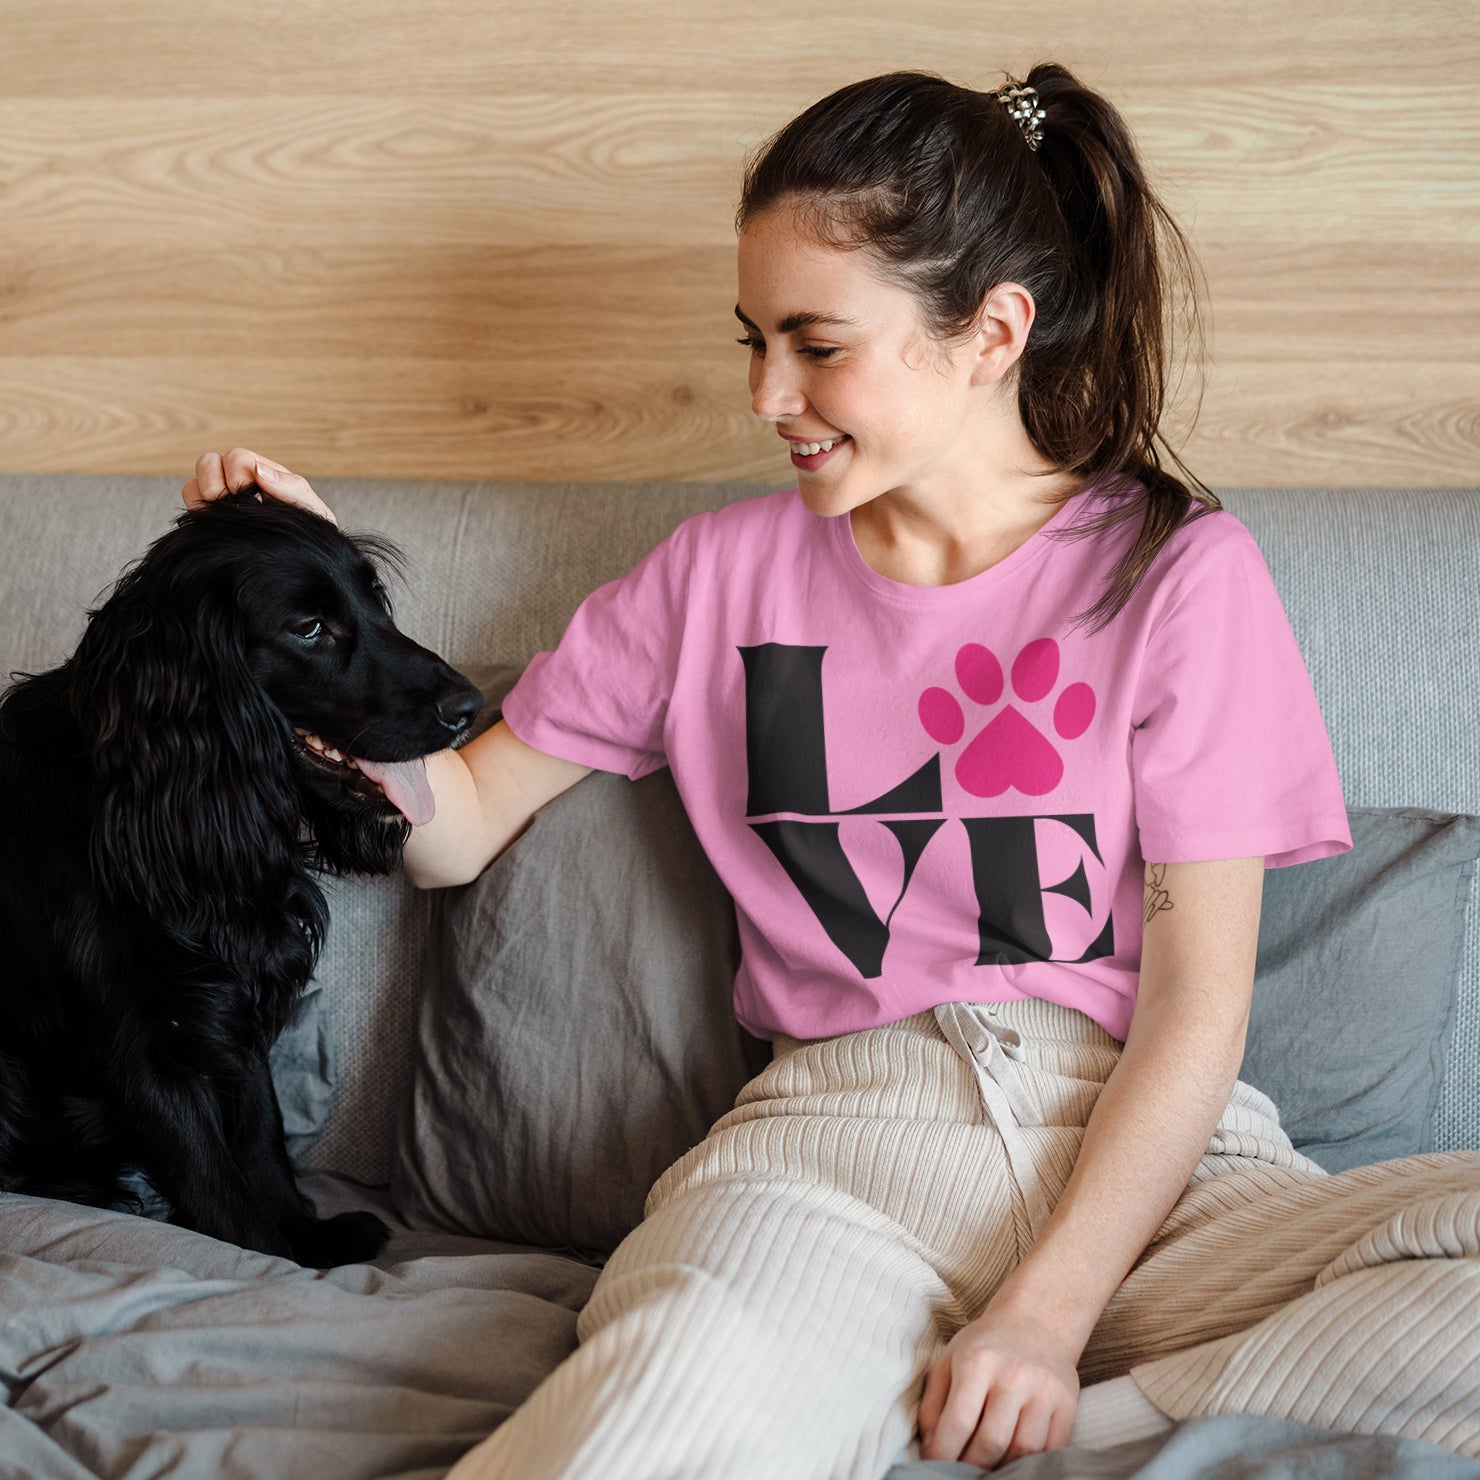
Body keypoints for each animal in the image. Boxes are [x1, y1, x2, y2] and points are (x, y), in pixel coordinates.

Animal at [0, 491, 482, 1266]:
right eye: (309, 628)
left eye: (375, 601)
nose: (469, 709)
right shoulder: (142, 1035)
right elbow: (213, 1176)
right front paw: (276, 1252)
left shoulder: (235, 992)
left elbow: (260, 1134)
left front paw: (302, 1233)